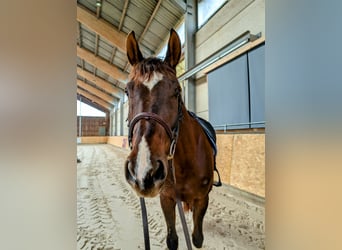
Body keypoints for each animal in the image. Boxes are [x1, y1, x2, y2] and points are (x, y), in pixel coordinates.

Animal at [123, 28, 214, 248]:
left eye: (177, 90)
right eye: (127, 91)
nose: (143, 172)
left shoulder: (202, 200)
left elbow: (197, 239)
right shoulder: (167, 198)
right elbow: (172, 239)